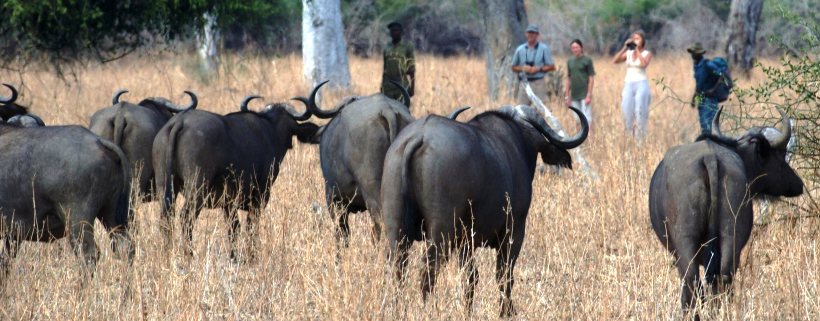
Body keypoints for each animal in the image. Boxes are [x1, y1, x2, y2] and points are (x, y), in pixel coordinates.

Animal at [152, 96, 318, 258]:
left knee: (166, 220)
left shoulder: (229, 203)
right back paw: (189, 255)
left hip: (165, 187)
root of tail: (180, 122)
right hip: (196, 190)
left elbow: (234, 228)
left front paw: (234, 256)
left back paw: (167, 253)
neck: (271, 130)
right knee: (186, 218)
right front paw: (251, 256)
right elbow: (251, 226)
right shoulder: (260, 197)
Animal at [382, 104, 588, 314]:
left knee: (398, 268)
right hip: (441, 232)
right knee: (428, 268)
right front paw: (507, 312)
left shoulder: (467, 241)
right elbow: (503, 275)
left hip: (396, 229)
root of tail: (420, 136)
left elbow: (470, 277)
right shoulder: (514, 232)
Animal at [652, 107, 804, 318]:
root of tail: (709, 157)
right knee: (723, 278)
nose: (798, 184)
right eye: (780, 157)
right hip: (731, 234)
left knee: (693, 282)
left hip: (686, 243)